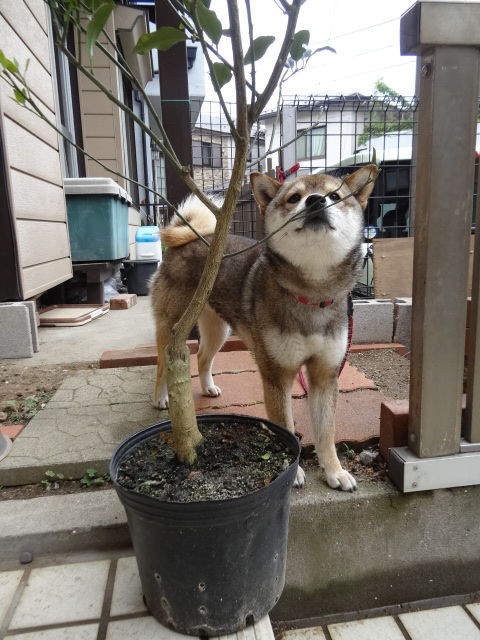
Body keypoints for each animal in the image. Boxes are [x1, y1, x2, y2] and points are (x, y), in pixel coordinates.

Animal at [150, 165, 378, 490]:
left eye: (335, 196)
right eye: (294, 197)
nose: (316, 201)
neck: (312, 293)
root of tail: (194, 237)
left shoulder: (325, 375)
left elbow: (326, 433)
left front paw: (335, 471)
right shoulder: (277, 374)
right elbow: (286, 427)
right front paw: (294, 472)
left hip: (218, 329)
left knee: (203, 357)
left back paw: (208, 387)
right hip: (173, 325)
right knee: (162, 362)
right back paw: (161, 397)